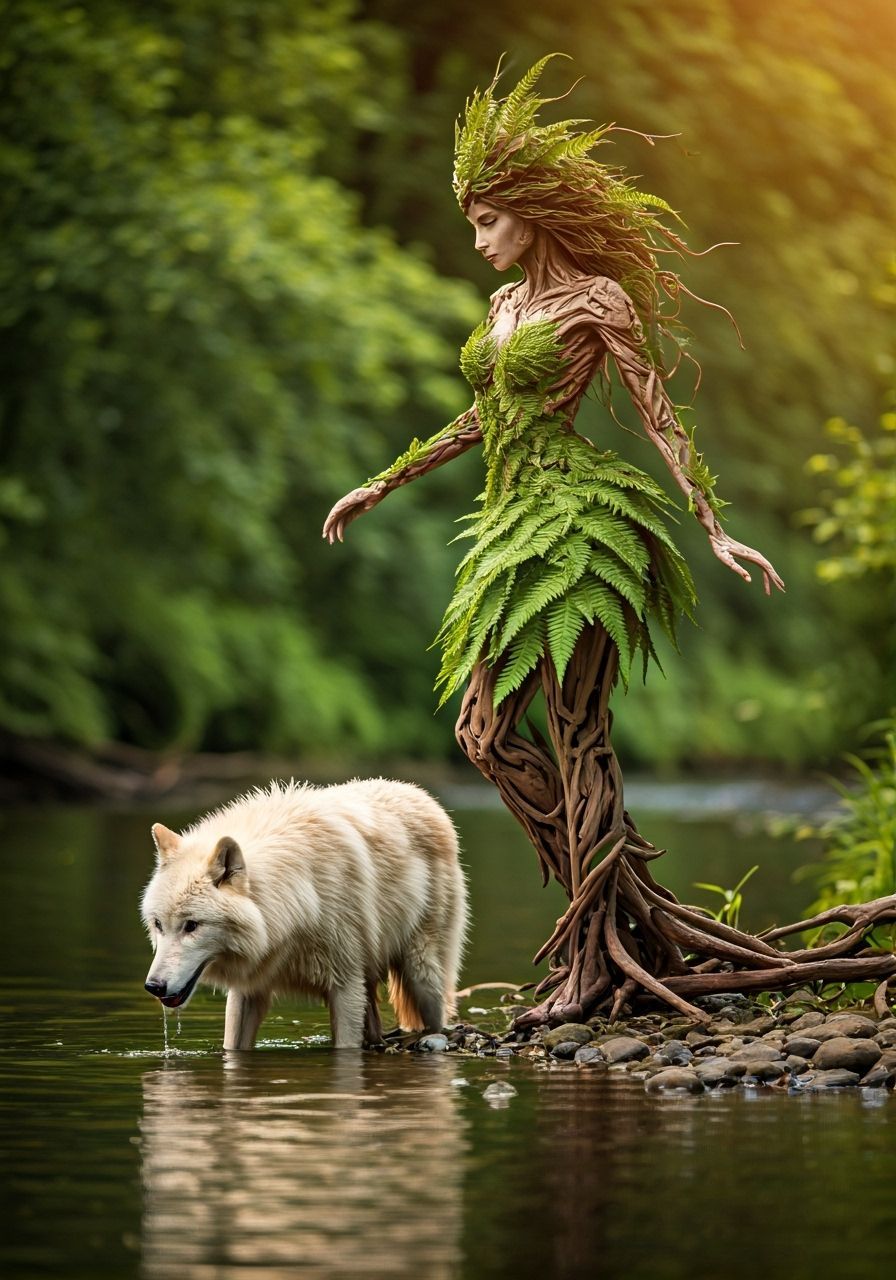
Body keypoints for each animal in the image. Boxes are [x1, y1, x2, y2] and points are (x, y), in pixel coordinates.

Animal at [140, 779, 467, 1049]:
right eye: (158, 925)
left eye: (192, 926)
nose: (153, 987)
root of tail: (423, 795)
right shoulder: (248, 989)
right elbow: (232, 1045)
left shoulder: (346, 985)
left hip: (422, 973)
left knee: (438, 1019)